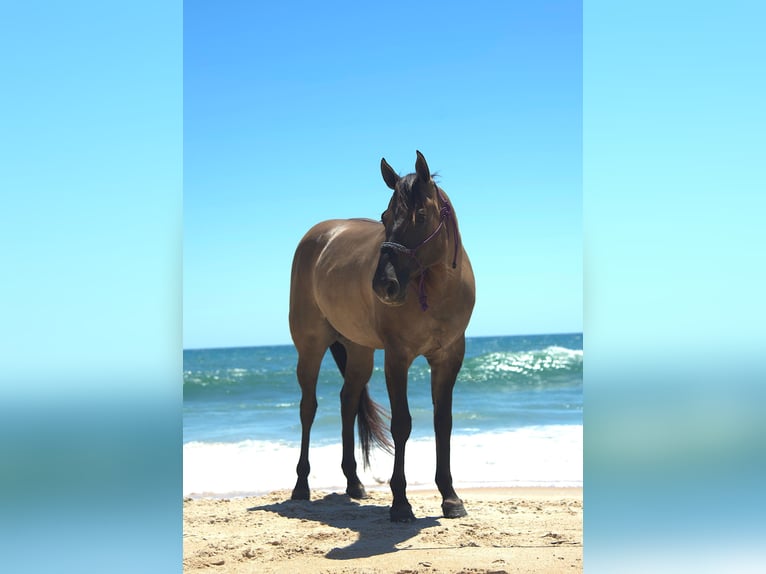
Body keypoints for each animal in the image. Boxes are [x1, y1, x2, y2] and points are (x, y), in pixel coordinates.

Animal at [292, 151, 476, 524]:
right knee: (308, 408)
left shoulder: (449, 357)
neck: (437, 290)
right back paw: (301, 486)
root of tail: (319, 235)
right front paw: (401, 503)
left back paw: (354, 483)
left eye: (421, 216)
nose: (383, 285)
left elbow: (443, 423)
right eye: (384, 217)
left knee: (347, 402)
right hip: (311, 347)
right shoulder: (397, 357)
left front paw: (450, 497)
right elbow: (402, 424)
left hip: (359, 352)